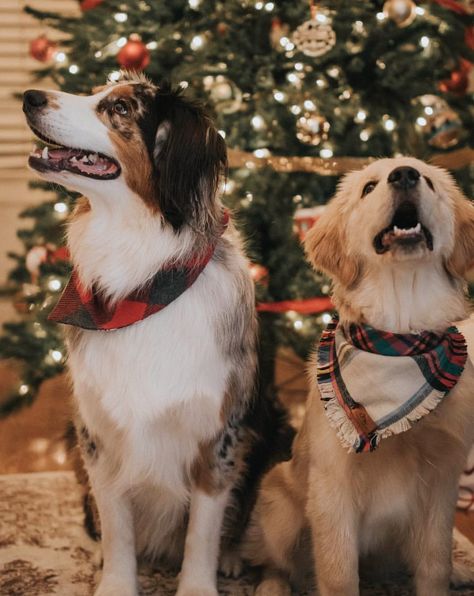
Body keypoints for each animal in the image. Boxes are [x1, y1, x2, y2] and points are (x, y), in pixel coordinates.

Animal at [22, 72, 288, 592]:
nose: (29, 97)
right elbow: (116, 528)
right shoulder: (98, 434)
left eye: (120, 108)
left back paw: (234, 558)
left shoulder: (218, 436)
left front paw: (198, 585)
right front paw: (116, 583)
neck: (141, 278)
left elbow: (202, 532)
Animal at [246, 156, 474, 592]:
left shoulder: (441, 482)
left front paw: (443, 577)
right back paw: (271, 585)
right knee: (275, 562)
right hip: (280, 504)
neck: (399, 334)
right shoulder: (333, 484)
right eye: (369, 187)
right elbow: (338, 574)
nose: (405, 175)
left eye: (430, 182)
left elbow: (434, 564)